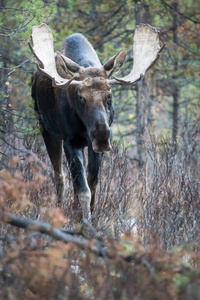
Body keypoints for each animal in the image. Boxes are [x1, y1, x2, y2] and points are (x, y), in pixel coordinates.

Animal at [29, 23, 164, 219]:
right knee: (59, 175)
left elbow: (92, 185)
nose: (101, 135)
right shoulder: (70, 141)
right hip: (45, 127)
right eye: (80, 96)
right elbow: (83, 189)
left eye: (109, 94)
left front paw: (90, 217)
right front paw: (84, 221)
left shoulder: (94, 148)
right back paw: (60, 208)